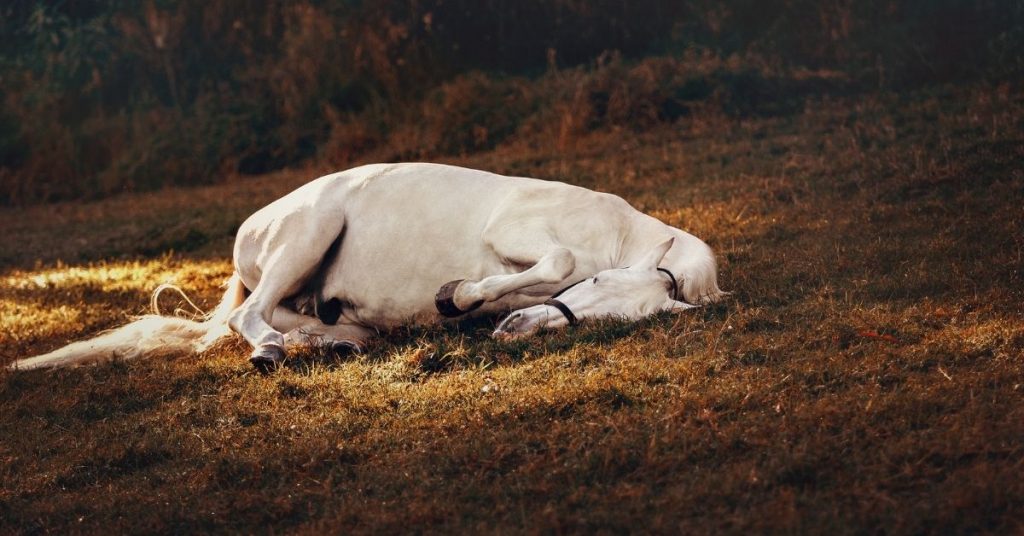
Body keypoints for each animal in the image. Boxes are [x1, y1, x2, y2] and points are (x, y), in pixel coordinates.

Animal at [9, 163, 725, 371]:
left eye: (609, 320)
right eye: (596, 285)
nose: (514, 332)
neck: (616, 231)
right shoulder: (516, 232)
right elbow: (554, 260)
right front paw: (457, 295)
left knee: (298, 320)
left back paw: (327, 342)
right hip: (309, 231)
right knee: (249, 317)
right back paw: (270, 352)